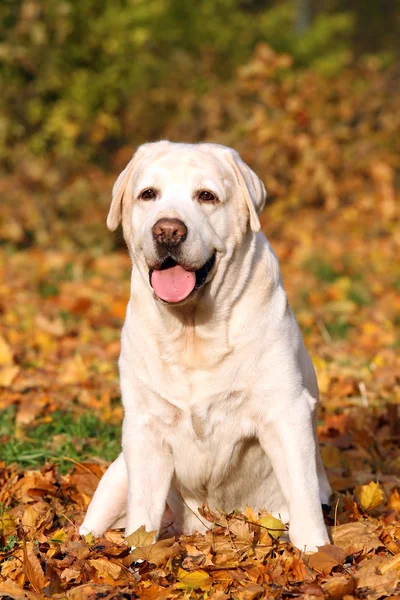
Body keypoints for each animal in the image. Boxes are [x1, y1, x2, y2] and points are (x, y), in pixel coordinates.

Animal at [80, 142, 332, 552]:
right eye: (148, 194)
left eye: (207, 196)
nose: (167, 230)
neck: (193, 330)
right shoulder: (144, 427)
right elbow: (141, 516)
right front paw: (139, 558)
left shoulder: (286, 412)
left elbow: (303, 495)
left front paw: (317, 552)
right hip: (117, 475)